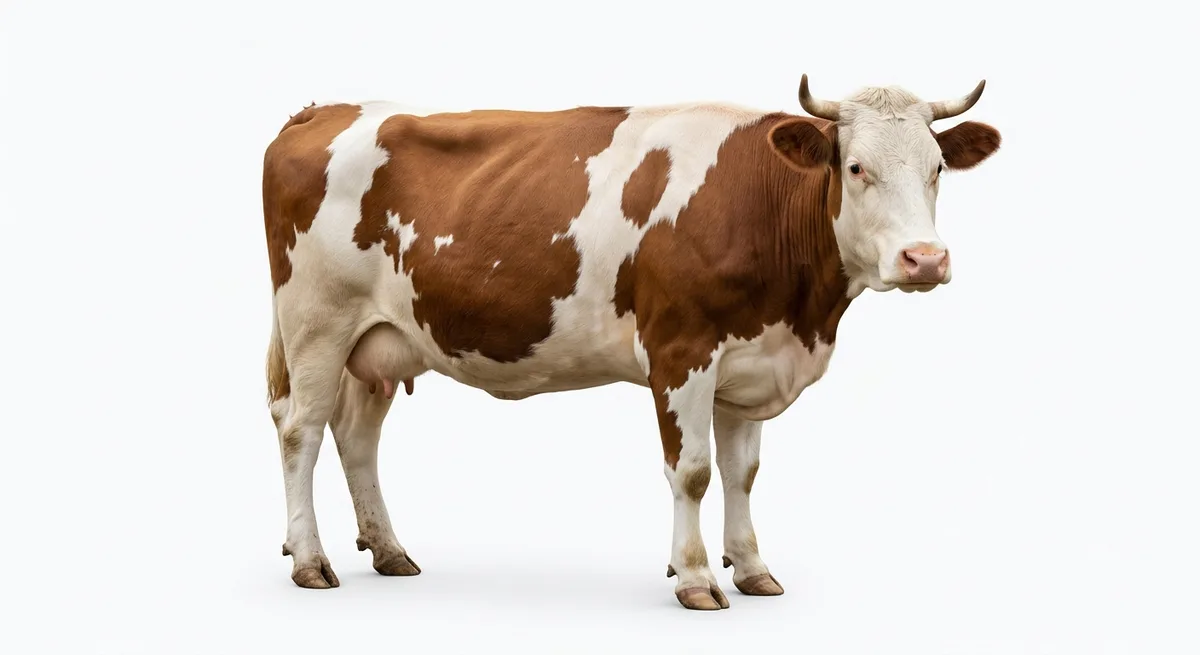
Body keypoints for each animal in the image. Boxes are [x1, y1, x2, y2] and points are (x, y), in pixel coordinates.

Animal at [260, 74, 1001, 611]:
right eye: (855, 167)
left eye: (938, 167)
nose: (925, 259)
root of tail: (321, 110)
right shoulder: (681, 351)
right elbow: (694, 470)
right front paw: (695, 577)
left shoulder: (751, 360)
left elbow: (743, 473)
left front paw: (752, 568)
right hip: (315, 320)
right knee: (301, 430)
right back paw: (311, 560)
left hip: (382, 339)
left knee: (358, 436)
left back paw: (389, 551)